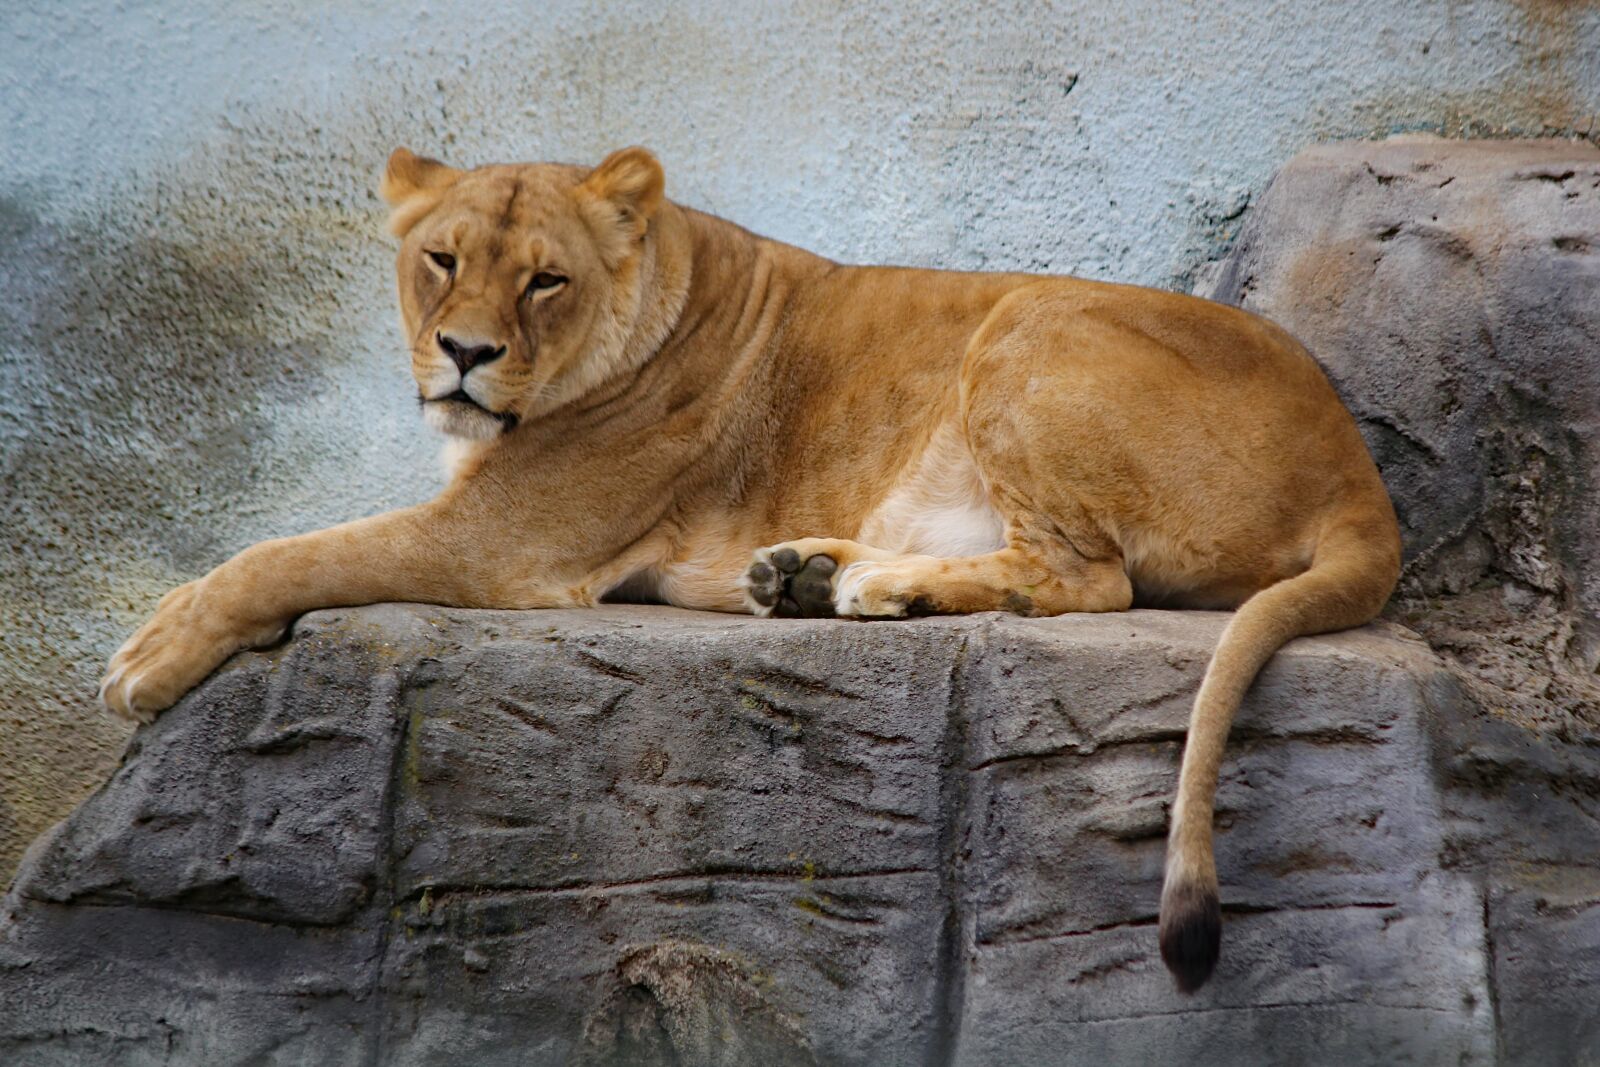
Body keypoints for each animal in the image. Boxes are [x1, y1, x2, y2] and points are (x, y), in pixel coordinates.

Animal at [99, 146, 1401, 993]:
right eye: (441, 259)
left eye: (544, 279)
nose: (464, 353)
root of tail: (1360, 474)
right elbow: (300, 541)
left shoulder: (503, 542)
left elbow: (294, 549)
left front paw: (148, 657)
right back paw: (806, 572)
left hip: (1028, 325)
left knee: (1091, 580)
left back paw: (868, 588)